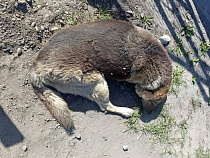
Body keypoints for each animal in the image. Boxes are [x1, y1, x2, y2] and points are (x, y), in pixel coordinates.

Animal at [31, 19, 172, 131]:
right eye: (151, 101)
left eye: (157, 102)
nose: (148, 113)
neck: (153, 55)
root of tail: (36, 67)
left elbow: (158, 39)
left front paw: (164, 39)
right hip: (97, 80)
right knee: (105, 106)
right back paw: (125, 111)